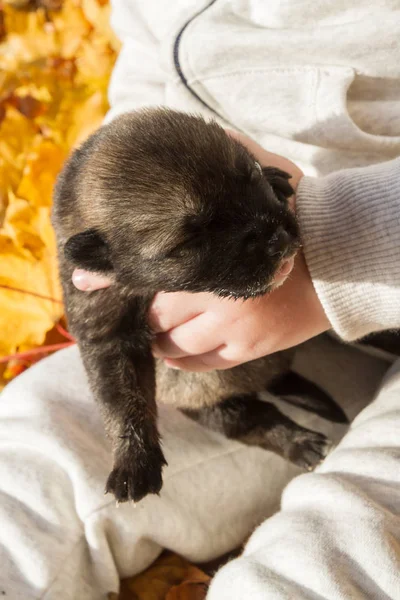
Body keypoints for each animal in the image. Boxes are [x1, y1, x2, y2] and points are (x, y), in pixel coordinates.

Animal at [53, 108, 346, 502]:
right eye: (190, 241)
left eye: (252, 174)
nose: (279, 240)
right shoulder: (106, 329)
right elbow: (121, 395)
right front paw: (134, 460)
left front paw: (276, 177)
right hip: (213, 405)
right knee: (254, 421)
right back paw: (302, 442)